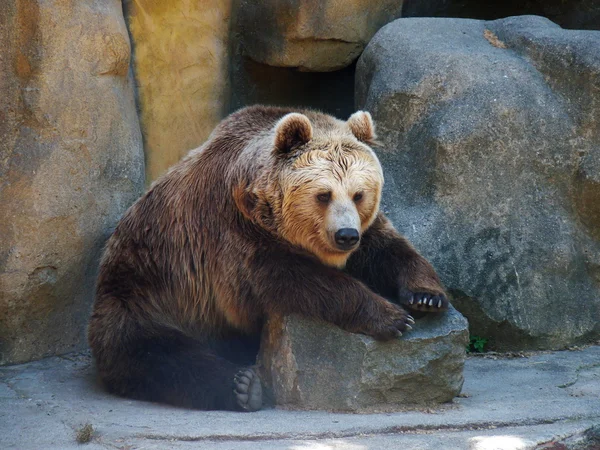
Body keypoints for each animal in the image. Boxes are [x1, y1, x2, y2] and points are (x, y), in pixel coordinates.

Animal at [86, 104, 448, 412]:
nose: (345, 235)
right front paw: (392, 316)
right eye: (323, 194)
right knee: (158, 353)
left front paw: (426, 296)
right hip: (147, 291)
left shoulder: (364, 229)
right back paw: (243, 386)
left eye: (359, 194)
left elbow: (389, 248)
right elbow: (295, 280)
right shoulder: (235, 238)